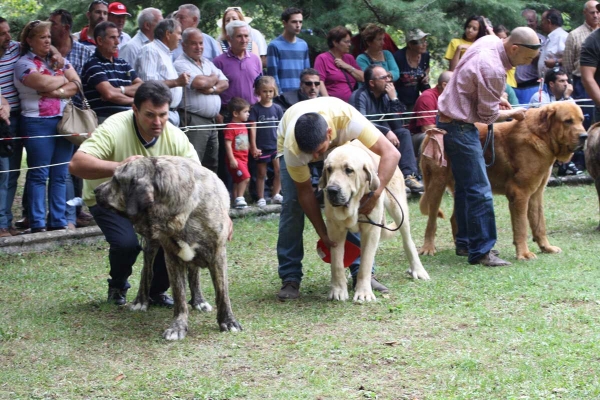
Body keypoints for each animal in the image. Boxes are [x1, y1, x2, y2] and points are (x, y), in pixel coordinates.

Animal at [95, 155, 240, 340]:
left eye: (116, 179)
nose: (96, 190)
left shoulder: (218, 255)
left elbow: (222, 293)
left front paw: (228, 322)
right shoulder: (172, 258)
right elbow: (179, 297)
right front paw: (178, 327)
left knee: (194, 274)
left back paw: (199, 301)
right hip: (151, 245)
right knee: (146, 271)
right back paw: (141, 301)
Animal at [322, 142, 428, 302]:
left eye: (349, 170)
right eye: (329, 169)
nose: (332, 190)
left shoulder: (371, 230)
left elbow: (365, 263)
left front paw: (364, 292)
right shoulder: (334, 229)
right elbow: (337, 263)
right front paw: (338, 290)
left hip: (398, 209)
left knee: (407, 240)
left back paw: (418, 269)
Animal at [420, 101, 588, 260]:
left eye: (581, 120)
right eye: (568, 121)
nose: (584, 136)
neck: (541, 136)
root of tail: (430, 133)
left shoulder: (536, 193)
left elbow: (539, 224)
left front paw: (546, 248)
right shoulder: (520, 193)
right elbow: (521, 226)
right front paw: (524, 254)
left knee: (455, 218)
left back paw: (465, 250)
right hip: (436, 184)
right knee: (431, 222)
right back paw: (428, 248)